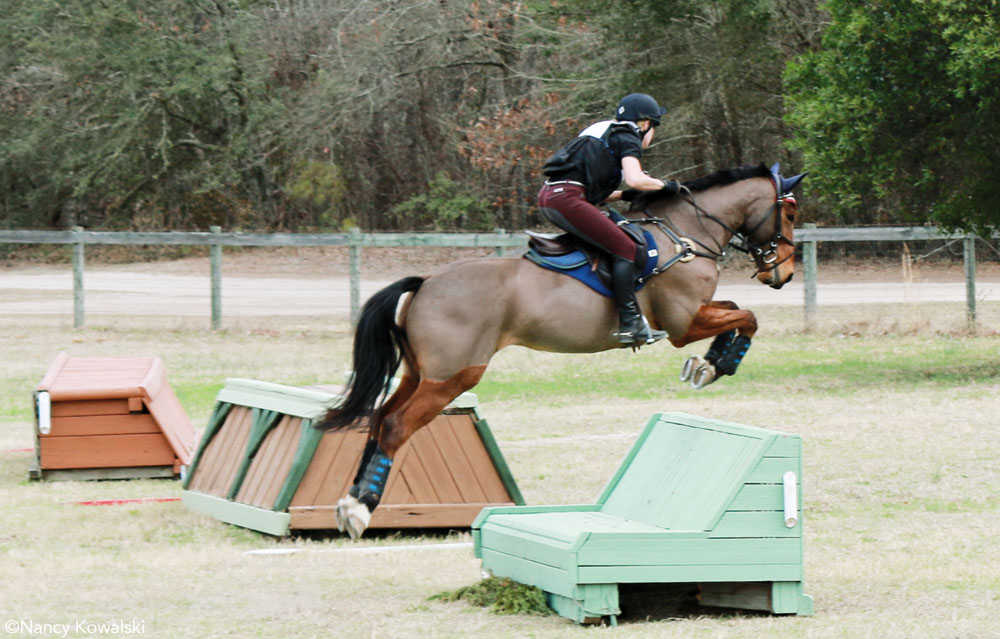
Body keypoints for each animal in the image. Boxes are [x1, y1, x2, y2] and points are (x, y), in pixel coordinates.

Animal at [318, 162, 804, 536]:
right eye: (791, 212)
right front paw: (716, 364)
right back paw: (361, 508)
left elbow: (738, 311)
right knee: (396, 425)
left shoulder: (696, 314)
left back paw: (349, 500)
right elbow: (748, 316)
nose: (782, 274)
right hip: (453, 377)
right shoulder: (683, 323)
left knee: (379, 417)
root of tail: (425, 283)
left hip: (420, 373)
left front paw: (710, 363)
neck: (684, 235)